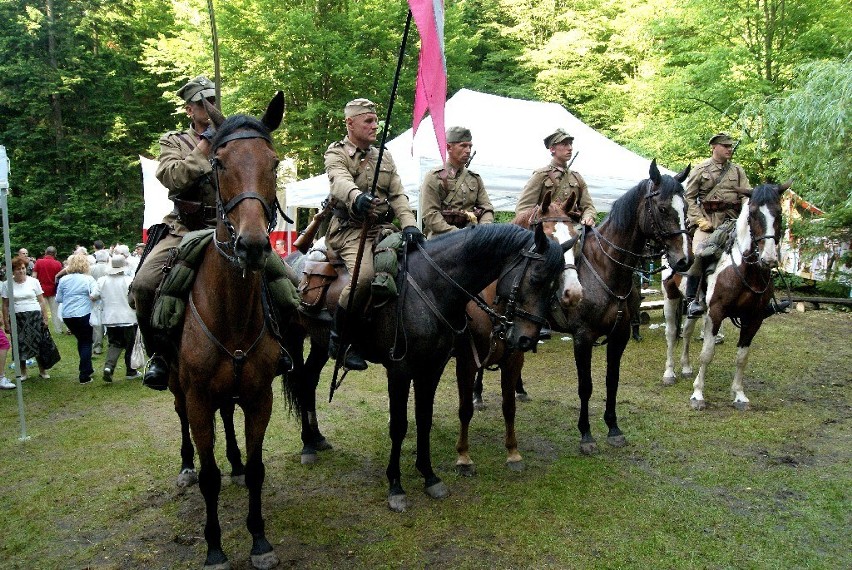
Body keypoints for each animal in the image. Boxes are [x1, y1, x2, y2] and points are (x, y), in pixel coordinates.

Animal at [170, 93, 292, 568]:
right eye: (218, 164)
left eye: (273, 163)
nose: (253, 246)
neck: (233, 314)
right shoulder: (198, 399)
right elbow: (209, 476)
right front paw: (215, 547)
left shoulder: (260, 396)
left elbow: (258, 469)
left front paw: (259, 539)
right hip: (178, 389)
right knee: (183, 422)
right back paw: (185, 466)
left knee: (229, 418)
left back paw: (236, 463)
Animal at [286, 222, 564, 510]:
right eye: (536, 279)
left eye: (555, 286)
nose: (526, 339)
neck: (431, 288)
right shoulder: (401, 371)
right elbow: (399, 425)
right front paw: (396, 486)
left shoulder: (432, 369)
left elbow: (424, 419)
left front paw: (429, 475)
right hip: (293, 338)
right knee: (300, 380)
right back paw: (307, 446)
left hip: (319, 344)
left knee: (308, 381)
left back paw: (316, 439)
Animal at [452, 189, 580, 472]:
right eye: (548, 237)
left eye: (574, 239)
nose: (574, 293)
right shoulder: (465, 361)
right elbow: (464, 409)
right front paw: (464, 455)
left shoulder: (513, 358)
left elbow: (508, 406)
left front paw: (513, 452)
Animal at [552, 160, 692, 452]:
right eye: (663, 208)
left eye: (685, 207)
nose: (685, 260)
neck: (604, 270)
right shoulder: (582, 338)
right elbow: (586, 385)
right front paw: (586, 434)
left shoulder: (620, 336)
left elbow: (611, 381)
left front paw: (613, 428)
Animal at [664, 180, 788, 406]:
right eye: (753, 213)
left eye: (779, 212)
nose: (769, 259)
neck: (746, 271)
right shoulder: (716, 313)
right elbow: (707, 353)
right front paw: (698, 394)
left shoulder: (754, 318)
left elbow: (742, 357)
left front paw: (739, 394)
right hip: (671, 295)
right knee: (671, 332)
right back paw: (669, 373)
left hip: (694, 307)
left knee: (686, 332)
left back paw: (685, 367)